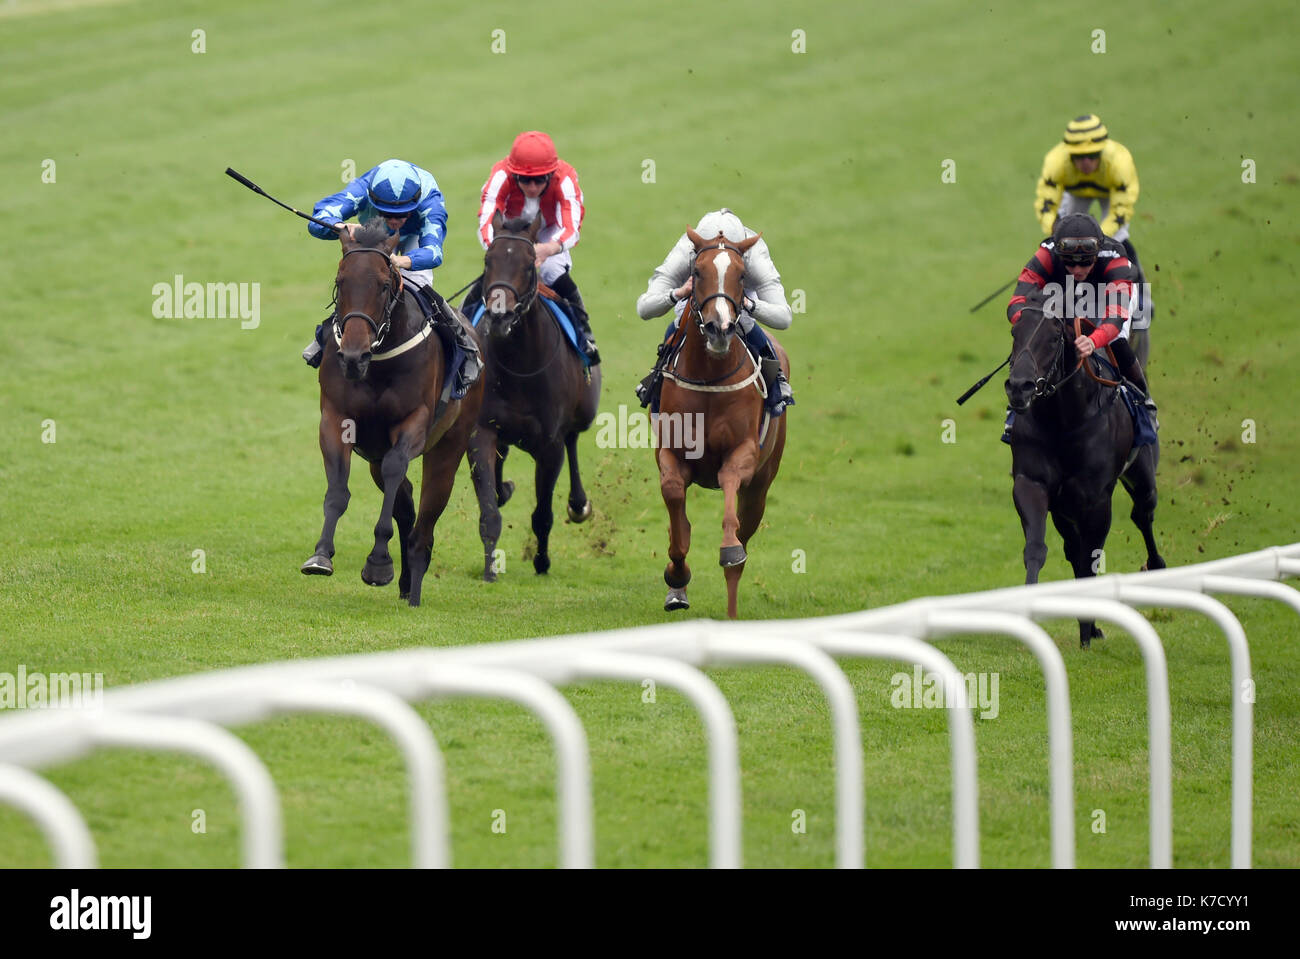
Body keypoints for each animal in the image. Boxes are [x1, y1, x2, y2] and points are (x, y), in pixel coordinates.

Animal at [301, 222, 486, 605]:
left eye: (384, 285)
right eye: (340, 281)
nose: (352, 357)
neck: (378, 361)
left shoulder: (414, 422)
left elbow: (395, 472)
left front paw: (378, 564)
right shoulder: (335, 419)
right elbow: (338, 490)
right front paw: (321, 555)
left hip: (449, 446)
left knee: (426, 518)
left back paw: (413, 584)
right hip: (374, 453)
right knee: (406, 502)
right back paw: (404, 581)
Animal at [465, 213, 600, 579]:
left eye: (528, 265)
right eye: (488, 261)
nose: (499, 315)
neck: (518, 364)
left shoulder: (549, 446)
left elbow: (542, 514)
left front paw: (542, 561)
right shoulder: (482, 430)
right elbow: (489, 508)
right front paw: (490, 568)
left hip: (584, 412)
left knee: (573, 440)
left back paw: (579, 504)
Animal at [655, 230, 785, 621]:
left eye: (742, 276)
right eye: (696, 272)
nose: (719, 327)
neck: (710, 376)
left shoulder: (743, 452)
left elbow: (729, 487)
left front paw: (728, 548)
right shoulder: (670, 453)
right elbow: (676, 510)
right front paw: (676, 576)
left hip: (761, 485)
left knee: (744, 538)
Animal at [1003, 298, 1170, 641]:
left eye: (1054, 338)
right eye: (1015, 333)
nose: (1019, 388)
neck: (1062, 421)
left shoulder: (1096, 498)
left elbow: (1091, 556)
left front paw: (1085, 632)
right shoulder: (1031, 484)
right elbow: (1037, 548)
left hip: (1142, 476)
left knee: (1142, 514)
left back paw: (1156, 565)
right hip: (1063, 507)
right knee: (1073, 547)